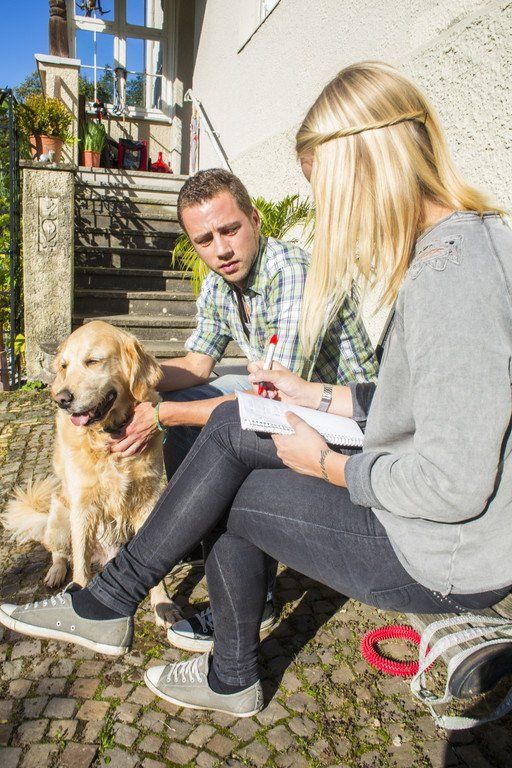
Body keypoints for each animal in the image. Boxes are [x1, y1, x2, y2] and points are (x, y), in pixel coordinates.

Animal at [1, 320, 180, 627]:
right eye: (64, 366)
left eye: (93, 361)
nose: (61, 399)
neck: (109, 438)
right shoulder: (83, 507)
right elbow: (81, 565)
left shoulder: (147, 500)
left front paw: (162, 604)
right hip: (60, 516)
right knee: (61, 553)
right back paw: (55, 573)